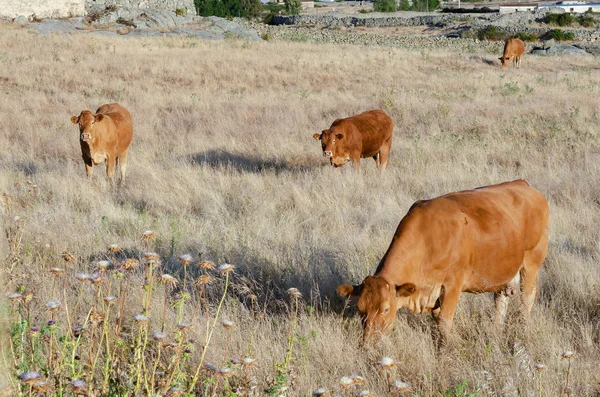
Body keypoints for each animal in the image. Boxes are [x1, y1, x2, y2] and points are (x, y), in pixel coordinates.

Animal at [338, 179, 548, 344]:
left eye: (385, 309)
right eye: (360, 309)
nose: (367, 344)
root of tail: (523, 185)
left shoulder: (452, 286)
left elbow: (445, 324)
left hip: (531, 261)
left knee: (527, 297)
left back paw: (523, 328)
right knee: (501, 300)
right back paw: (495, 332)